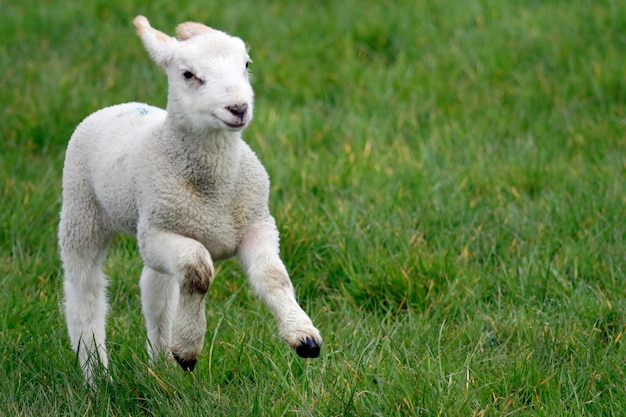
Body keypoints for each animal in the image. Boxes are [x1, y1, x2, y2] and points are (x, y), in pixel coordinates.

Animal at [58, 14, 322, 382]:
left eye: (246, 65)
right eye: (188, 74)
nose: (238, 108)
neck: (215, 188)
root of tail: (119, 106)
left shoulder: (257, 224)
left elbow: (273, 277)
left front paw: (304, 336)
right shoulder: (155, 235)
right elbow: (199, 270)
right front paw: (187, 348)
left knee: (157, 291)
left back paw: (161, 362)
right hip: (82, 209)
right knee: (85, 291)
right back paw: (97, 374)